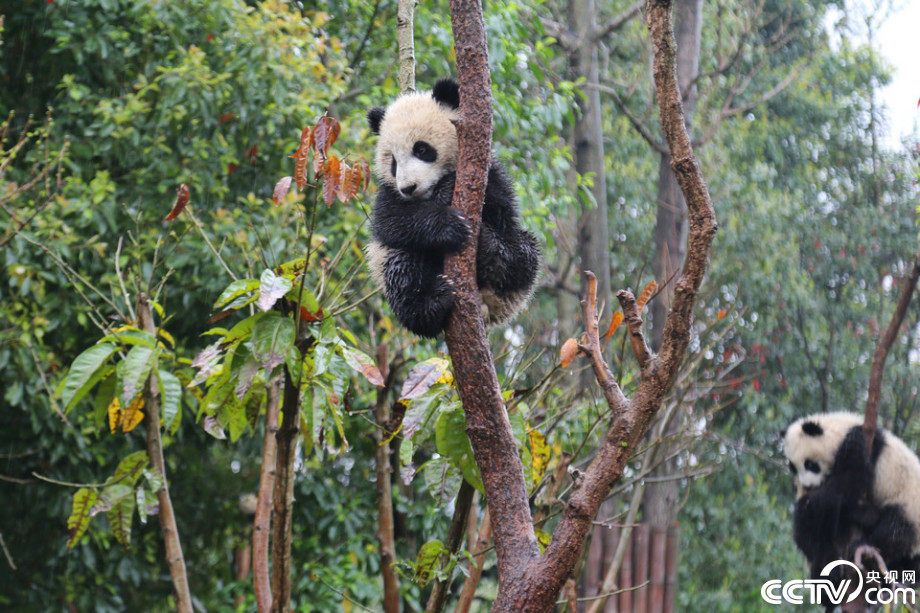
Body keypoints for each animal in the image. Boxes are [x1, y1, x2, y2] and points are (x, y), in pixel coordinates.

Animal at [364, 78, 540, 338]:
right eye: (393, 162)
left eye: (421, 149)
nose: (408, 188)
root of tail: (487, 308)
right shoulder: (388, 193)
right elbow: (393, 221)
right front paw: (449, 224)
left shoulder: (490, 173)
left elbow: (501, 208)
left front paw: (448, 188)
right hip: (388, 262)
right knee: (403, 268)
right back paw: (433, 301)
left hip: (515, 275)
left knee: (522, 256)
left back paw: (488, 247)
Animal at [783, 412, 920, 582]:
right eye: (793, 468)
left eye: (809, 464)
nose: (807, 486)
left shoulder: (869, 449)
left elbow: (848, 480)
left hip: (909, 507)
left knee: (895, 531)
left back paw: (864, 547)